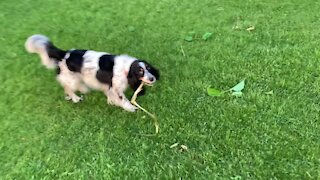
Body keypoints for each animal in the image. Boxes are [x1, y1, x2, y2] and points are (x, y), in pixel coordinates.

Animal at [25, 34, 160, 112]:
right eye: (140, 71)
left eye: (148, 68)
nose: (152, 78)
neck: (127, 69)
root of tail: (64, 53)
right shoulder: (116, 88)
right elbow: (123, 99)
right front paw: (131, 108)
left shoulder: (108, 86)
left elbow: (109, 94)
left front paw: (111, 101)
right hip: (71, 78)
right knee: (68, 87)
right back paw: (75, 98)